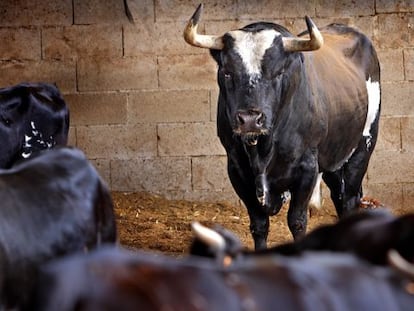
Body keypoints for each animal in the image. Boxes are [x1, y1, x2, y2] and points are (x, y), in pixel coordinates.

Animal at [184, 3, 382, 250]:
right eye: (227, 72)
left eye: (279, 72)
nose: (250, 119)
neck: (262, 150)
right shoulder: (236, 168)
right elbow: (259, 224)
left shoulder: (307, 167)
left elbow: (297, 221)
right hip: (334, 157)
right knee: (339, 194)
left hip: (364, 145)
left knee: (349, 199)